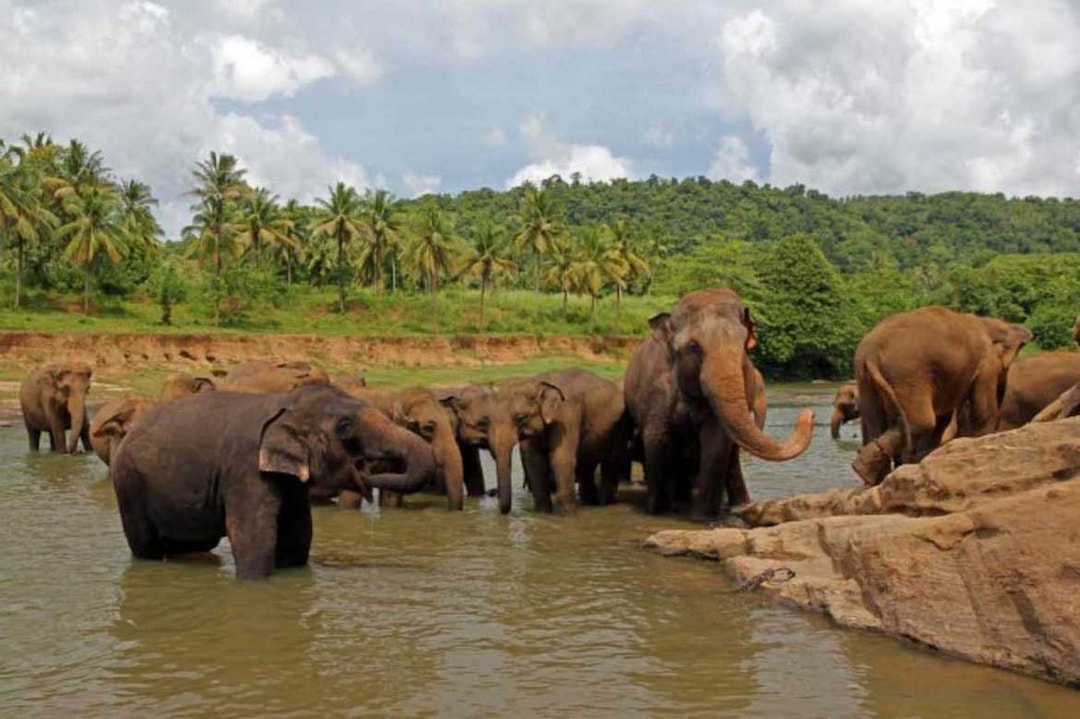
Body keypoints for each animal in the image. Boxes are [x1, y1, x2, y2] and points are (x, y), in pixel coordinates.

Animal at [110, 384, 437, 579]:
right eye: (345, 426)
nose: (367, 472)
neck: (284, 401)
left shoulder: (289, 481)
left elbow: (298, 536)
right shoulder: (246, 470)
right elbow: (255, 540)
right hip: (129, 485)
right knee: (145, 544)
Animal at [513, 369, 633, 514]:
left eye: (521, 417)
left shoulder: (567, 414)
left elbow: (561, 458)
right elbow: (536, 460)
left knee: (609, 462)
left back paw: (603, 504)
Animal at [624, 289, 815, 518]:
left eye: (743, 343)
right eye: (694, 346)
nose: (810, 412)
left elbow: (715, 442)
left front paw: (701, 517)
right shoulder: (656, 388)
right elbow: (657, 437)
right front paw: (656, 511)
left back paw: (738, 505)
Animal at [852, 306, 1031, 485]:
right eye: (1006, 367)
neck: (987, 322)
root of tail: (871, 353)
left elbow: (944, 418)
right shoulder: (986, 364)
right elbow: (983, 413)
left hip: (864, 378)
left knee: (878, 423)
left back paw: (870, 476)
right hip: (907, 376)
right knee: (921, 422)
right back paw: (867, 472)